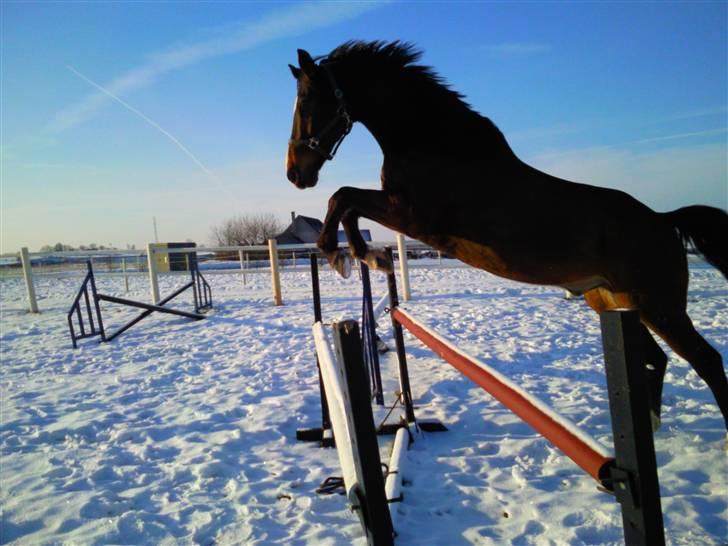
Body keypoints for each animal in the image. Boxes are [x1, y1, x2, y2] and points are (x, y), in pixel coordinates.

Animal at [284, 40, 728, 432]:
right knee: (655, 358)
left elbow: (344, 198)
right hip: (613, 299)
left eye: (306, 100)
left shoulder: (413, 217)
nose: (295, 174)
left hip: (658, 305)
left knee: (706, 360)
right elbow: (345, 204)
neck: (433, 142)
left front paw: (346, 256)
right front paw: (366, 257)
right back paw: (650, 423)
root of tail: (663, 220)